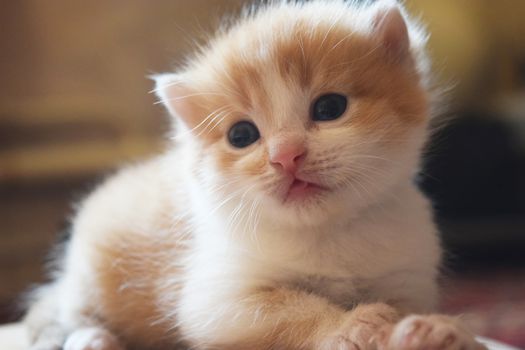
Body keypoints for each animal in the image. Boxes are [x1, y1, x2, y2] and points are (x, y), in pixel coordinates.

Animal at [24, 2, 484, 350]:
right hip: (89, 273)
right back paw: (92, 339)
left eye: (329, 108)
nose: (286, 156)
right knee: (63, 316)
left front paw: (436, 330)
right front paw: (351, 324)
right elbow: (287, 309)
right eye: (241, 135)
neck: (327, 232)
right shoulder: (216, 295)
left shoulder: (409, 276)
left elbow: (409, 306)